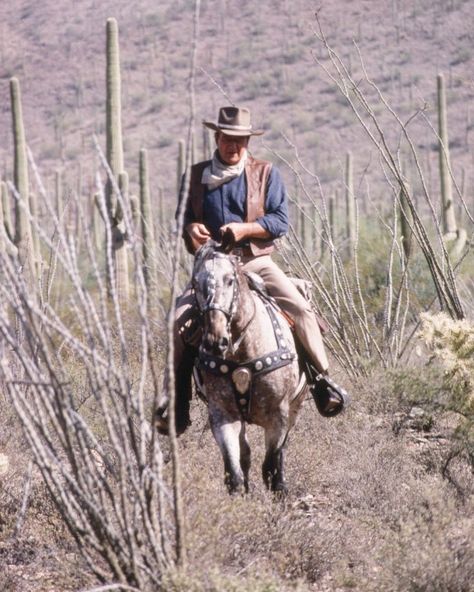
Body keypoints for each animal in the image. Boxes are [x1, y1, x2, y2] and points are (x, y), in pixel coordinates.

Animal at [193, 240, 308, 494]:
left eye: (230, 280)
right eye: (195, 283)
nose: (216, 341)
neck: (243, 351)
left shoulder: (278, 416)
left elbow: (271, 468)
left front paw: (279, 492)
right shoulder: (222, 415)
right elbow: (234, 473)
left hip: (296, 406)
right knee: (245, 454)